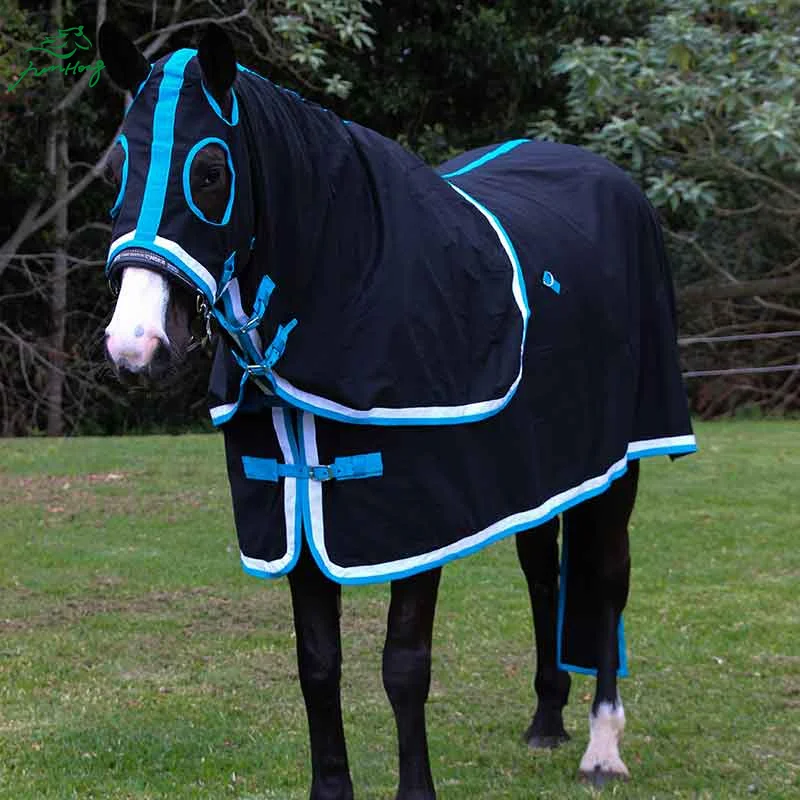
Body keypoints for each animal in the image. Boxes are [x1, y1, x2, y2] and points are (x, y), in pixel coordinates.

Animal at [98, 22, 696, 798]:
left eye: (209, 173)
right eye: (116, 168)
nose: (134, 345)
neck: (350, 285)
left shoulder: (416, 519)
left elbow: (404, 667)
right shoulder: (298, 516)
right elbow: (318, 667)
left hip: (622, 464)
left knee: (607, 581)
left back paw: (602, 746)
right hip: (544, 473)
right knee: (544, 575)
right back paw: (546, 720)